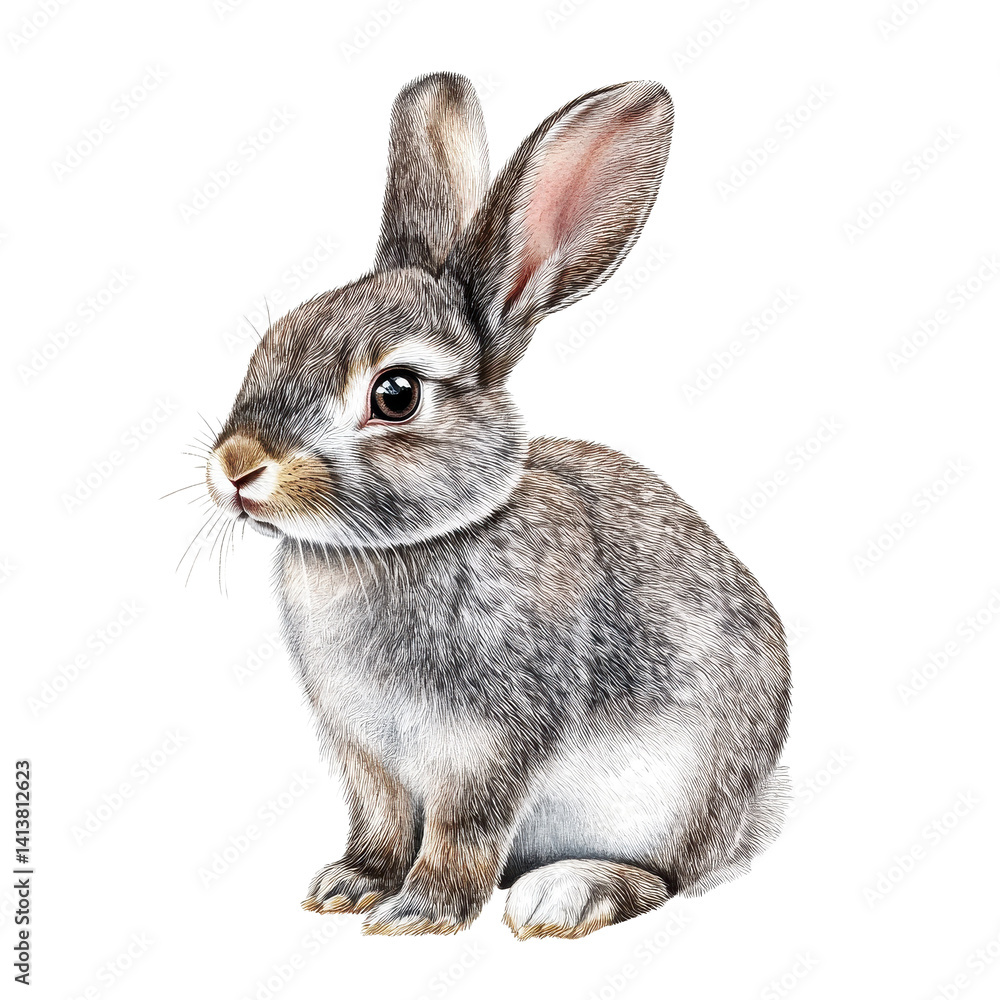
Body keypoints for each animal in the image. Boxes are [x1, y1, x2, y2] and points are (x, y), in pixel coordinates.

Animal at [204, 71, 790, 939]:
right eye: (271, 342)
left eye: (395, 394)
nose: (238, 466)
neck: (407, 546)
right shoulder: (364, 753)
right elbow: (380, 820)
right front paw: (348, 886)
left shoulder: (487, 744)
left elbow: (462, 831)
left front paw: (418, 914)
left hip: (677, 796)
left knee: (669, 878)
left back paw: (568, 894)